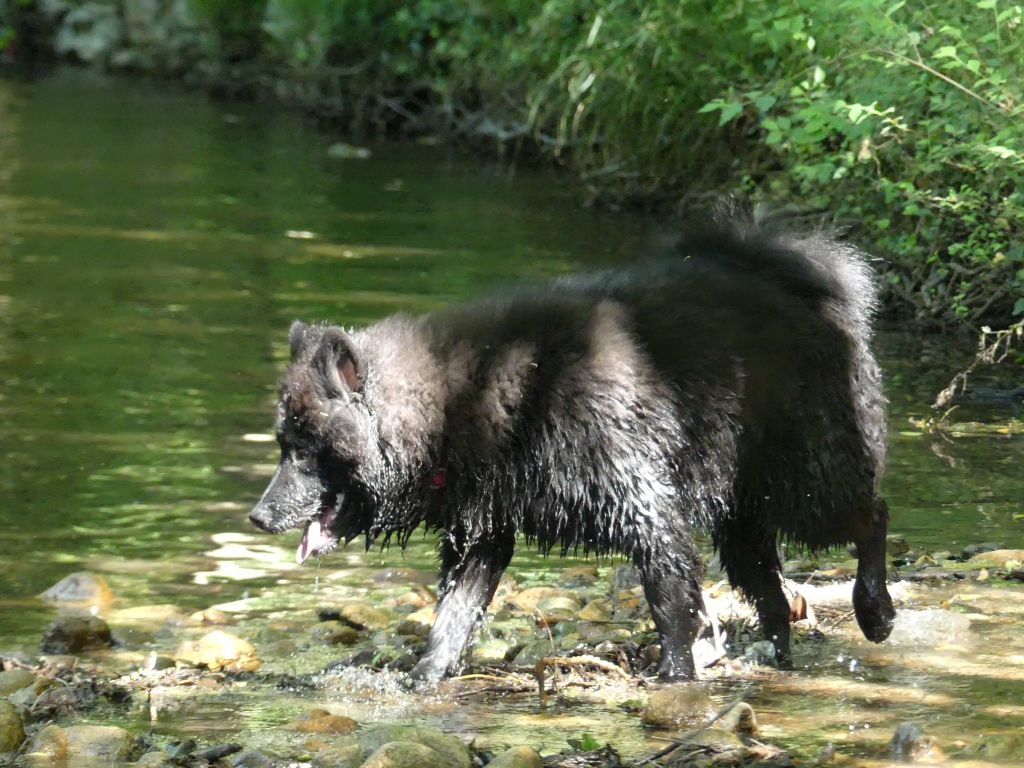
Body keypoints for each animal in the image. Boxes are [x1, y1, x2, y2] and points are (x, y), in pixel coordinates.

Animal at [249, 215, 897, 679]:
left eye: (304, 449)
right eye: (283, 443)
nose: (257, 516)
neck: (468, 398)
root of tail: (807, 293)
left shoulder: (642, 506)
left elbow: (671, 606)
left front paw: (675, 678)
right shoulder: (483, 534)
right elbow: (452, 620)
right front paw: (425, 679)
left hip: (806, 484)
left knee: (872, 515)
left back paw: (875, 610)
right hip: (743, 515)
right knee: (772, 596)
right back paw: (780, 658)